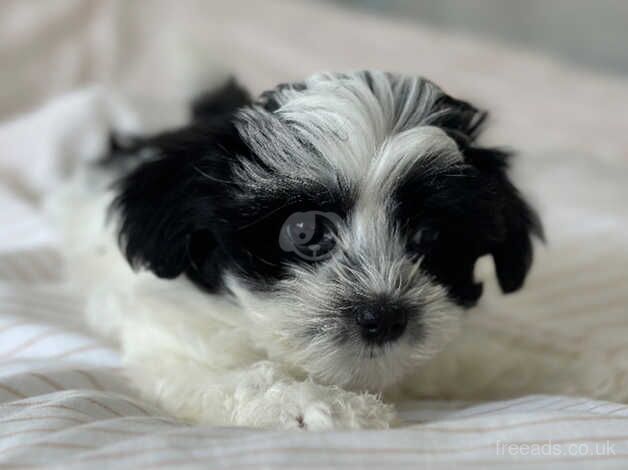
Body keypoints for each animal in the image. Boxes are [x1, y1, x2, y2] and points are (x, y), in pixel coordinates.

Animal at [59, 72, 548, 430]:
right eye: (303, 231)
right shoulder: (174, 338)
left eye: (429, 235)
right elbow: (239, 377)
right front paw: (323, 407)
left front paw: (540, 368)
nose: (384, 315)